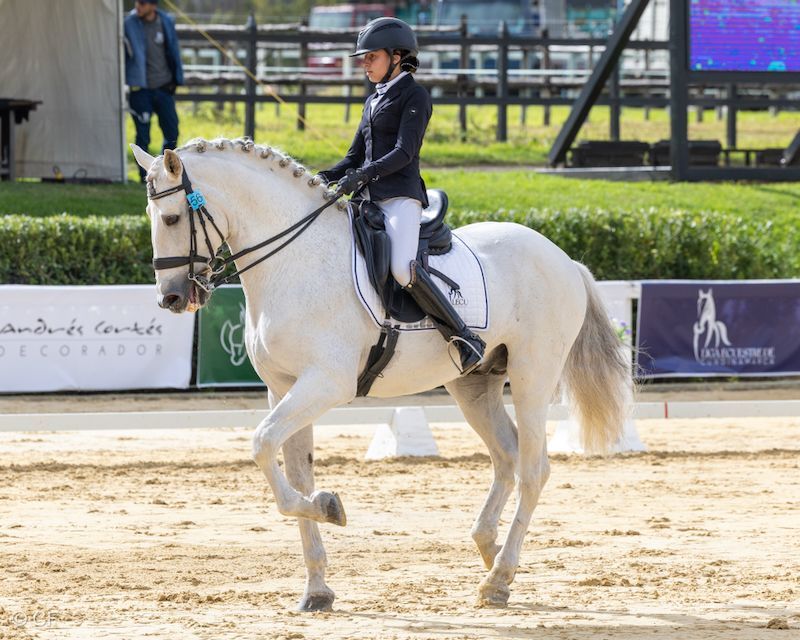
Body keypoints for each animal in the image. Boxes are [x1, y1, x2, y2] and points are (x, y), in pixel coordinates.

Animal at [131, 137, 631, 611]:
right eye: (151, 216)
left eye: (172, 219)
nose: (171, 299)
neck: (293, 261)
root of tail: (564, 258)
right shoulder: (282, 388)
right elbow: (294, 470)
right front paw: (317, 588)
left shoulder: (325, 383)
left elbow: (261, 444)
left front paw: (329, 507)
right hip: (474, 382)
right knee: (506, 456)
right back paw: (489, 553)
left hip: (533, 375)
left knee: (532, 469)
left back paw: (499, 578)